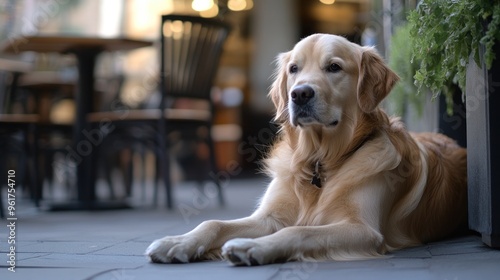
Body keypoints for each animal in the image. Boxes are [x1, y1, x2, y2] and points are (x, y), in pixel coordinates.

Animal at [146, 34, 468, 266]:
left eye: (334, 67)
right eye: (293, 69)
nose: (299, 93)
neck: (320, 160)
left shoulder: (363, 229)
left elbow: (298, 230)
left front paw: (252, 247)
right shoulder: (269, 217)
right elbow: (213, 222)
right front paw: (177, 242)